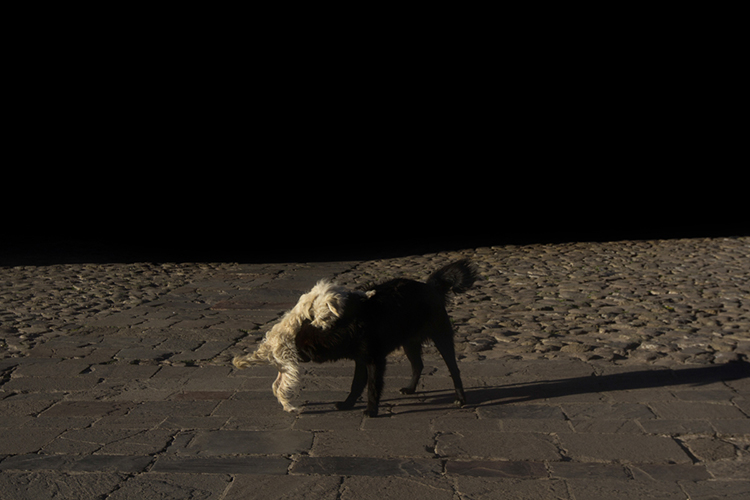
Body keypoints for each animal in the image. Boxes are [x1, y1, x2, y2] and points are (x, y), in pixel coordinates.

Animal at [232, 259, 479, 417]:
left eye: (321, 319)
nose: (314, 325)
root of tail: (431, 286)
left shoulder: (370, 359)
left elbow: (367, 385)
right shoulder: (364, 359)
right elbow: (360, 385)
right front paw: (358, 406)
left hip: (438, 336)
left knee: (450, 368)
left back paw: (460, 397)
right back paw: (292, 407)